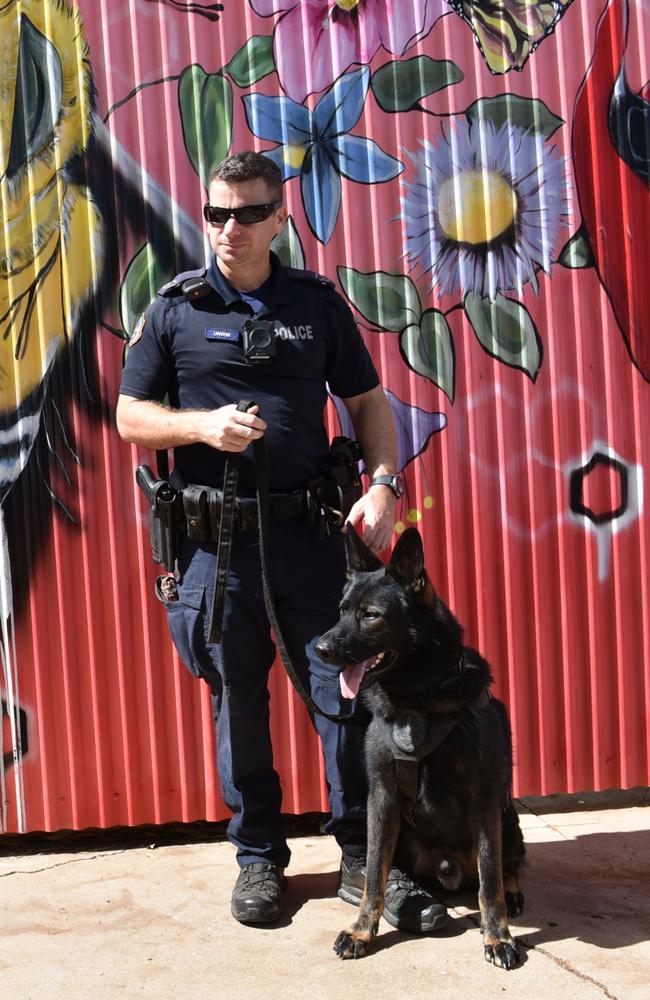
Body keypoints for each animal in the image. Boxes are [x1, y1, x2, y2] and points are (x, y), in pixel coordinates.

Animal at [316, 524, 524, 968]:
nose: (320, 650)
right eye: (341, 610)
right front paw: (361, 930)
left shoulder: (484, 799)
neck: (417, 701)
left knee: (506, 866)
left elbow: (490, 881)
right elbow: (374, 874)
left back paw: (513, 891)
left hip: (508, 816)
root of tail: (450, 869)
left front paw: (497, 937)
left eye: (370, 615)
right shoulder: (382, 798)